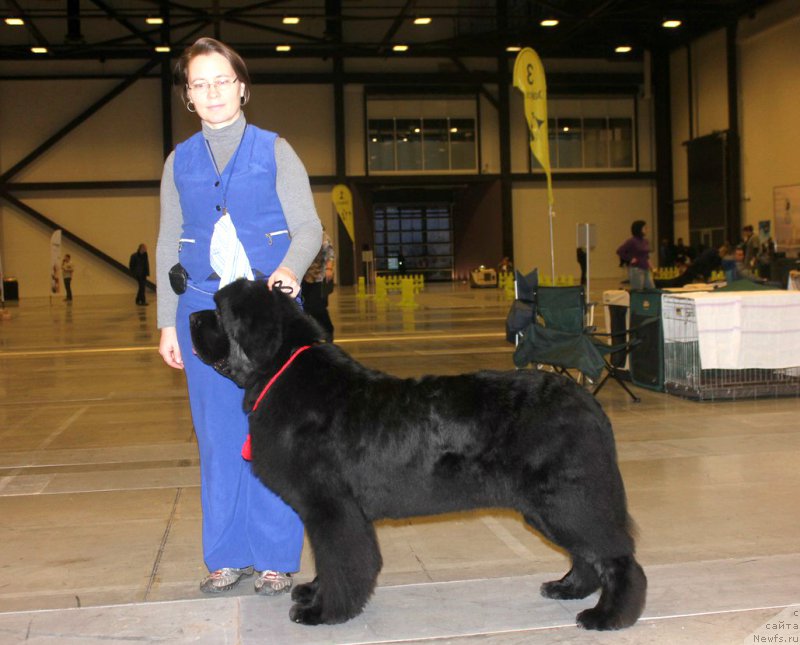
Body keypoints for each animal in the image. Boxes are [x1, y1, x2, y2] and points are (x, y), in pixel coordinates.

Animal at [191, 278, 648, 628]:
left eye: (219, 312)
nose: (192, 317)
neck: (282, 371)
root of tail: (586, 400)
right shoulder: (329, 513)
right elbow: (329, 561)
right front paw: (312, 592)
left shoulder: (332, 508)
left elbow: (341, 561)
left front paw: (323, 612)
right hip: (553, 504)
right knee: (587, 551)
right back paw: (568, 588)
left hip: (567, 497)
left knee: (616, 557)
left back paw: (608, 616)